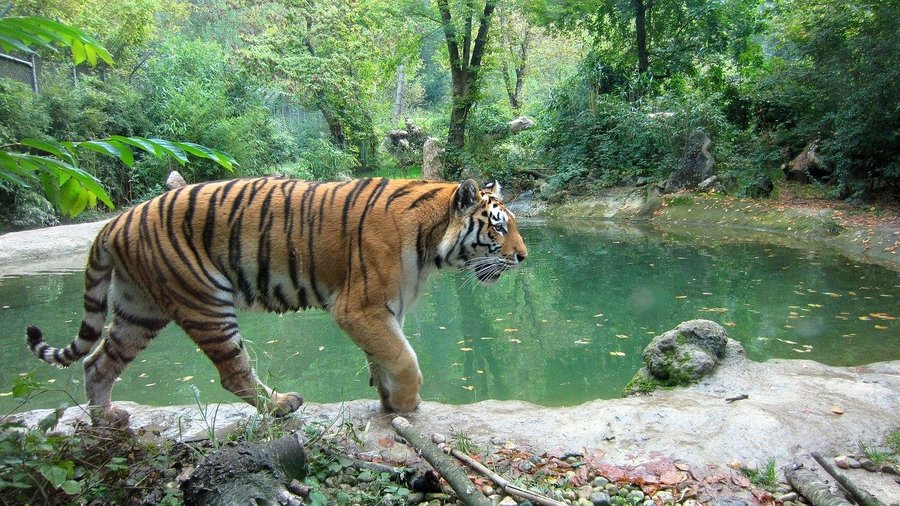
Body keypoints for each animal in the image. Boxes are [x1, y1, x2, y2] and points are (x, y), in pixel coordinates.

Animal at [26, 177, 527, 426]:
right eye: (498, 226)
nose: (523, 257)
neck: (430, 243)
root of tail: (115, 221)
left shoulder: (383, 311)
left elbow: (385, 355)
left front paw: (387, 400)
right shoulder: (360, 307)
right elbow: (404, 357)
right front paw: (406, 405)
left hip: (139, 309)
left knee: (98, 363)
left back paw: (105, 418)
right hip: (206, 301)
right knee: (232, 372)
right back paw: (281, 405)